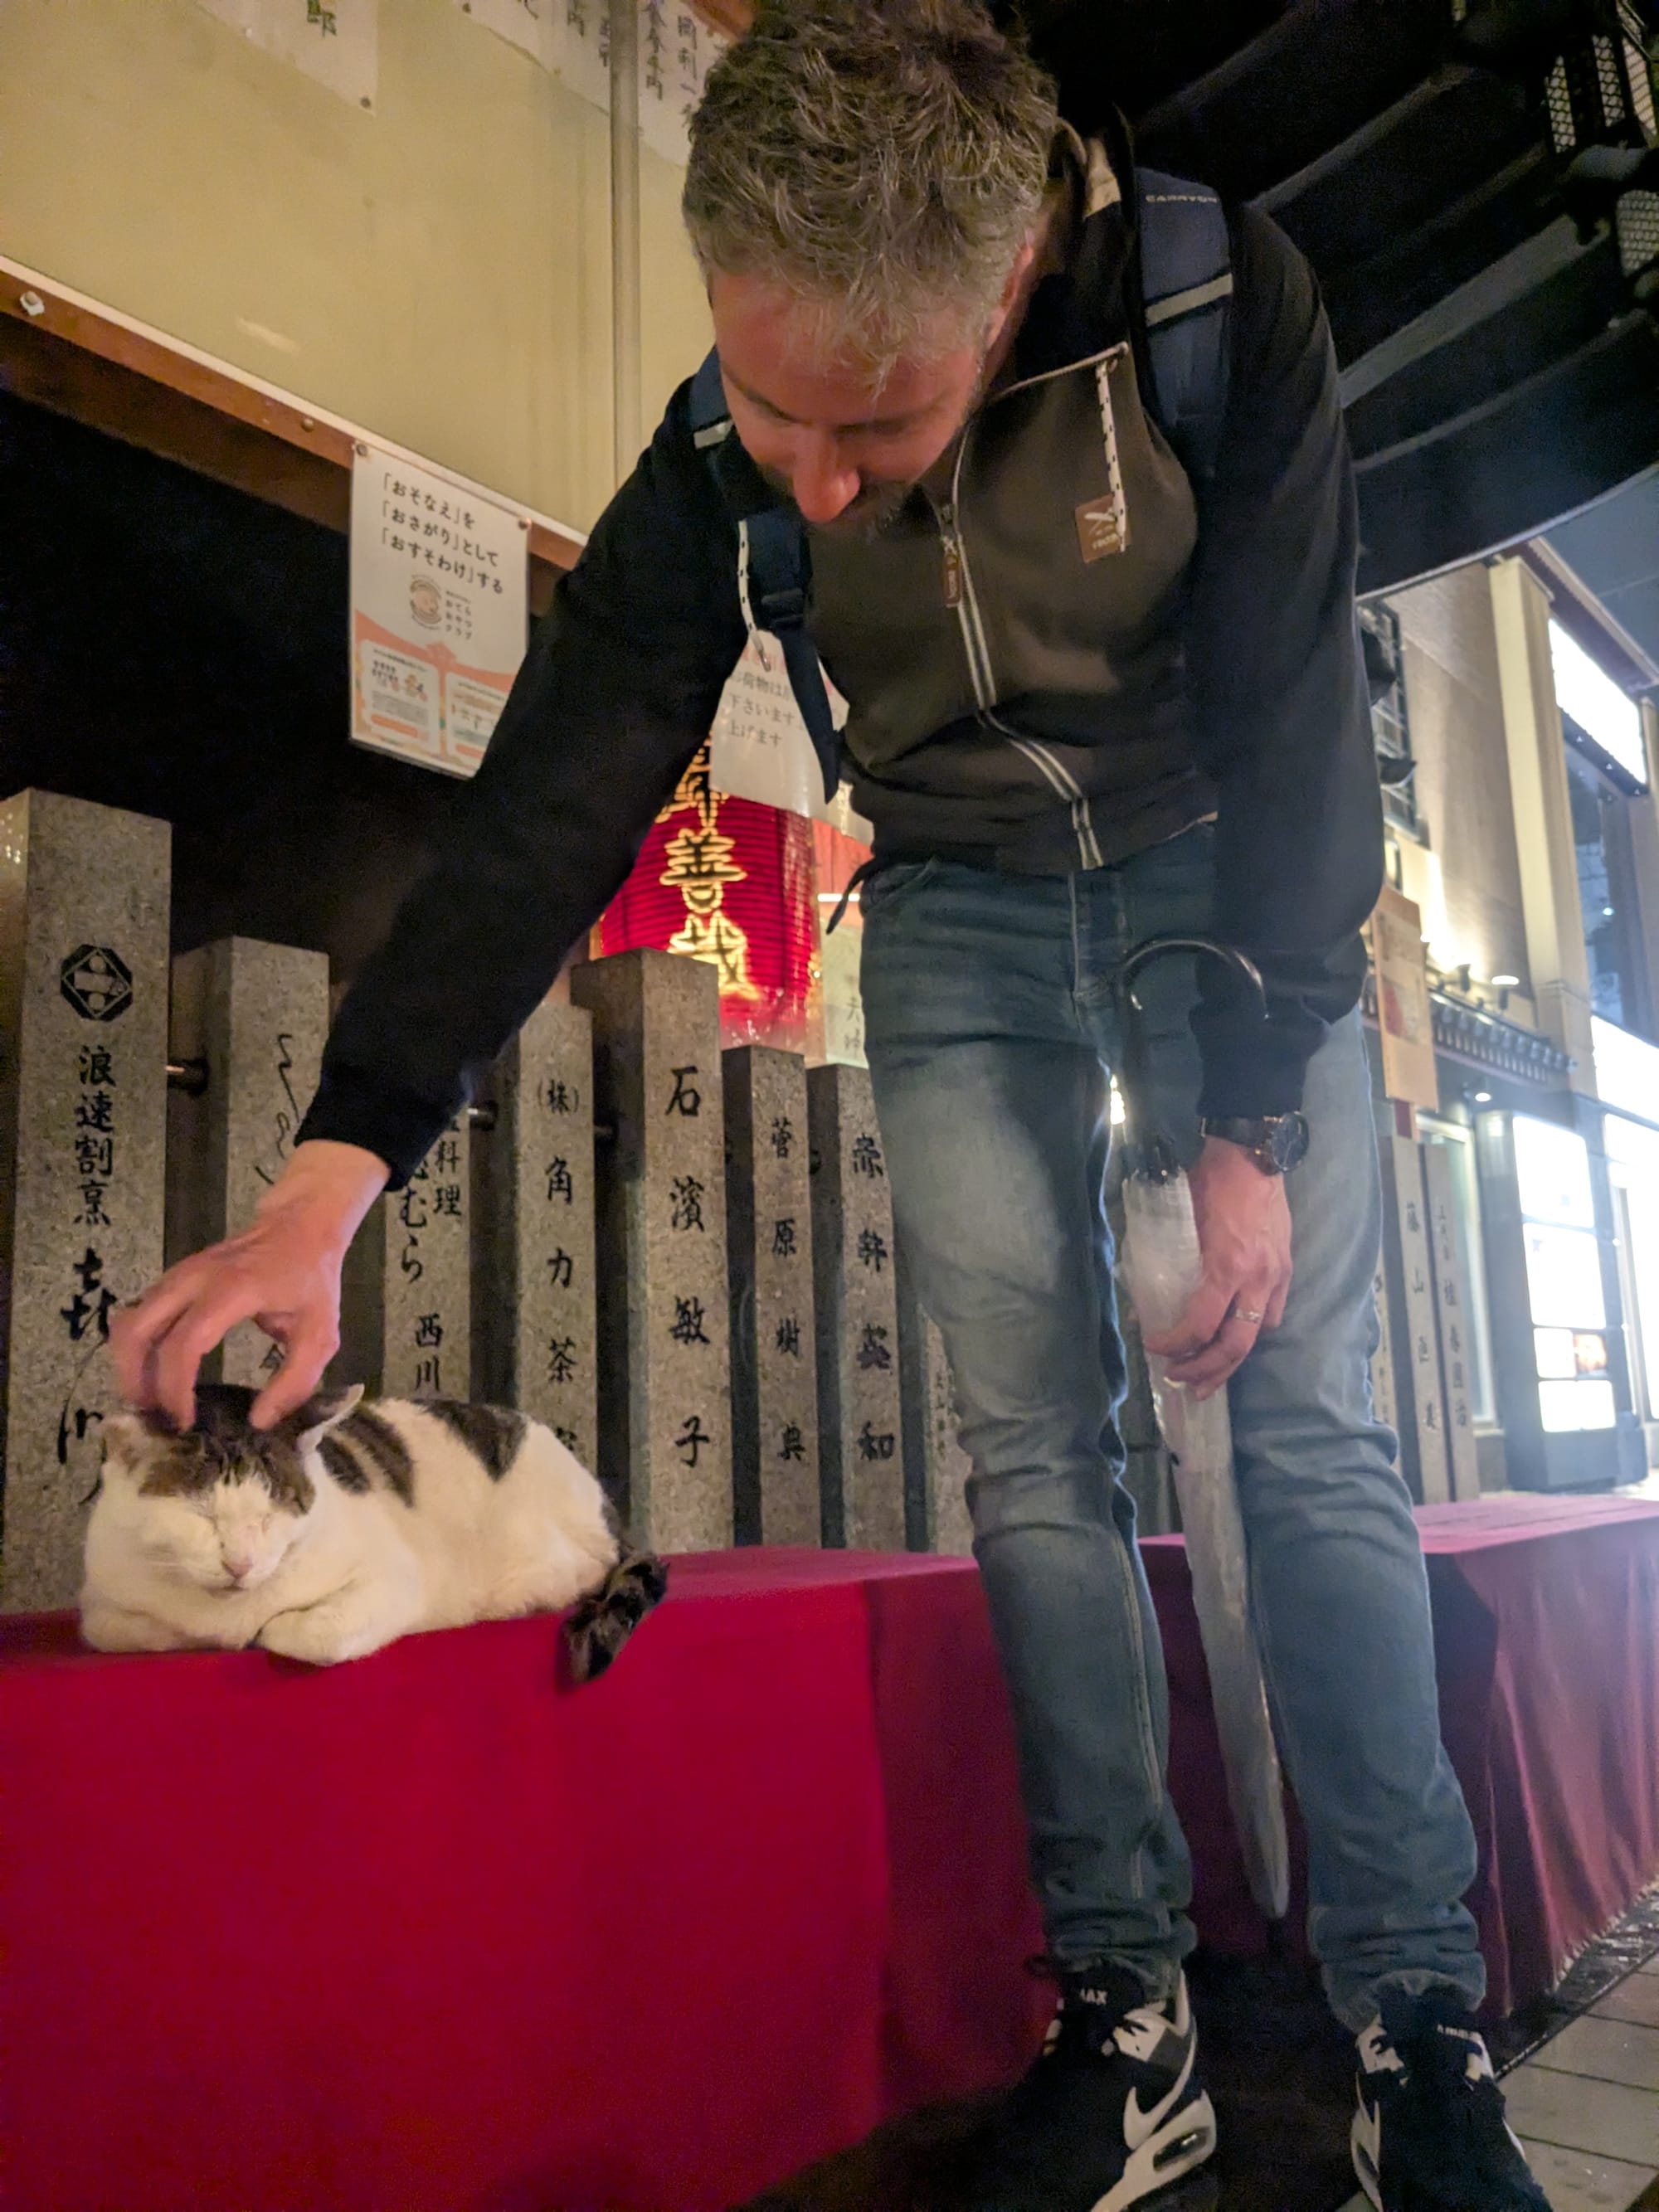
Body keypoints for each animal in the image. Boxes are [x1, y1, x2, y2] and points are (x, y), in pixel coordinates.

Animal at [79, 1383, 666, 1680]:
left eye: (269, 1516)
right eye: (202, 1517)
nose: (240, 1564)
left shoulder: (394, 1575)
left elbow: (301, 1632)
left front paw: (265, 1629)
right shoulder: (100, 1605)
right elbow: (123, 1628)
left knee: (585, 1567)